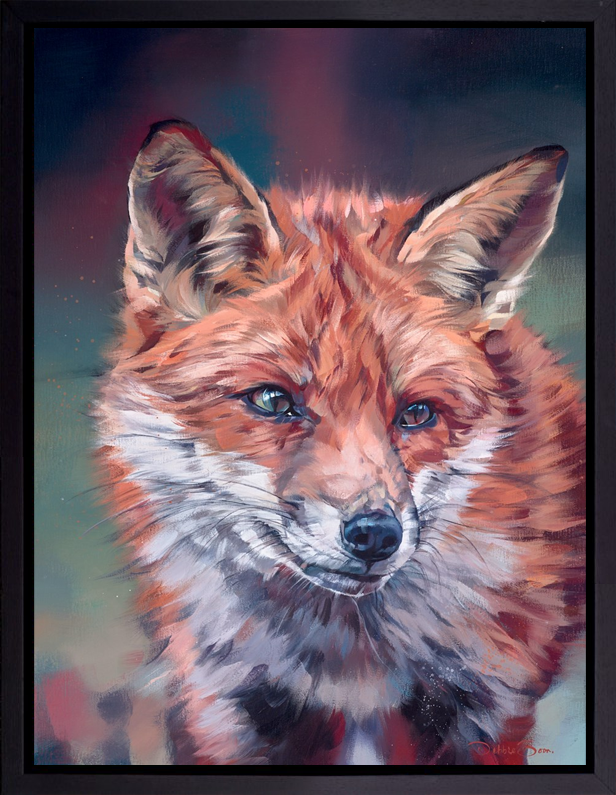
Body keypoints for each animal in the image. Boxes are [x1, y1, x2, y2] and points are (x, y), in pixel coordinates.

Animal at [96, 119, 585, 765]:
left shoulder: (488, 705)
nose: (375, 534)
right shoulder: (224, 705)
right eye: (273, 401)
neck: (349, 670)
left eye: (416, 414)